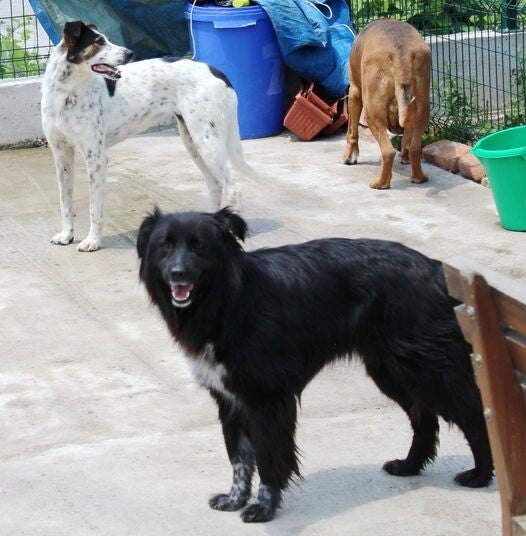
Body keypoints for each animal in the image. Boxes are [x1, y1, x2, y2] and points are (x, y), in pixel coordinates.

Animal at [41, 21, 255, 252]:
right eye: (98, 42)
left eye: (107, 39)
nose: (129, 53)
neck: (66, 92)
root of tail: (217, 72)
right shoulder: (61, 156)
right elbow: (65, 202)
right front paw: (67, 235)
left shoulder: (96, 158)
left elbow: (94, 208)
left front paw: (93, 240)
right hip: (194, 143)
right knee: (216, 185)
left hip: (208, 143)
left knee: (234, 191)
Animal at [137, 208, 493, 523]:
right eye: (165, 245)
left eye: (200, 247)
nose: (177, 274)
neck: (230, 300)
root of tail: (434, 268)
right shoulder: (230, 398)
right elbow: (239, 457)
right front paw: (235, 499)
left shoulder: (267, 399)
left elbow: (269, 457)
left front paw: (263, 508)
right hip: (392, 370)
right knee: (425, 418)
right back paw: (410, 465)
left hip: (431, 370)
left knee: (475, 415)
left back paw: (480, 474)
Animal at [343, 19, 431, 189]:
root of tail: (401, 53)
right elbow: (407, 138)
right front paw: (405, 157)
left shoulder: (354, 92)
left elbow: (352, 131)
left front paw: (349, 157)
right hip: (422, 108)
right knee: (415, 147)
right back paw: (419, 178)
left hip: (372, 112)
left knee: (388, 152)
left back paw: (381, 183)